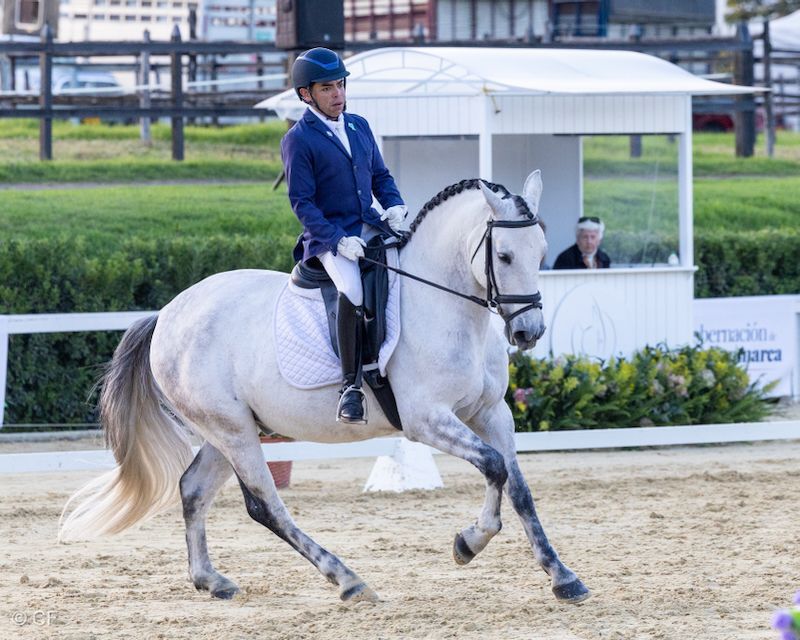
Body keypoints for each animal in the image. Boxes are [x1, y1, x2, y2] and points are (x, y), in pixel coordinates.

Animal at [59, 170, 590, 605]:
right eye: (503, 255)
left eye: (542, 253)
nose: (528, 332)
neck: (446, 304)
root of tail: (167, 314)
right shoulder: (426, 420)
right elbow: (494, 466)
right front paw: (469, 542)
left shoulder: (492, 412)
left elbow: (518, 487)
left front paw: (562, 577)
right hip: (233, 432)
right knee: (265, 505)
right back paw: (349, 581)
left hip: (226, 430)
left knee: (192, 489)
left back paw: (211, 580)